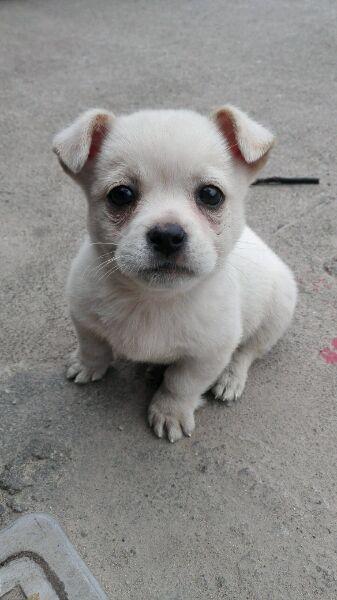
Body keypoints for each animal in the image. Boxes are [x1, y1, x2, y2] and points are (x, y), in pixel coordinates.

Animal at [53, 104, 296, 440]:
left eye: (211, 195)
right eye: (121, 195)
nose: (167, 235)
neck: (153, 299)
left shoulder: (207, 355)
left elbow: (181, 385)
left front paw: (170, 413)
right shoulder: (84, 318)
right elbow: (93, 346)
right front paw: (87, 366)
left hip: (276, 314)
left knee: (248, 351)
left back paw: (230, 378)